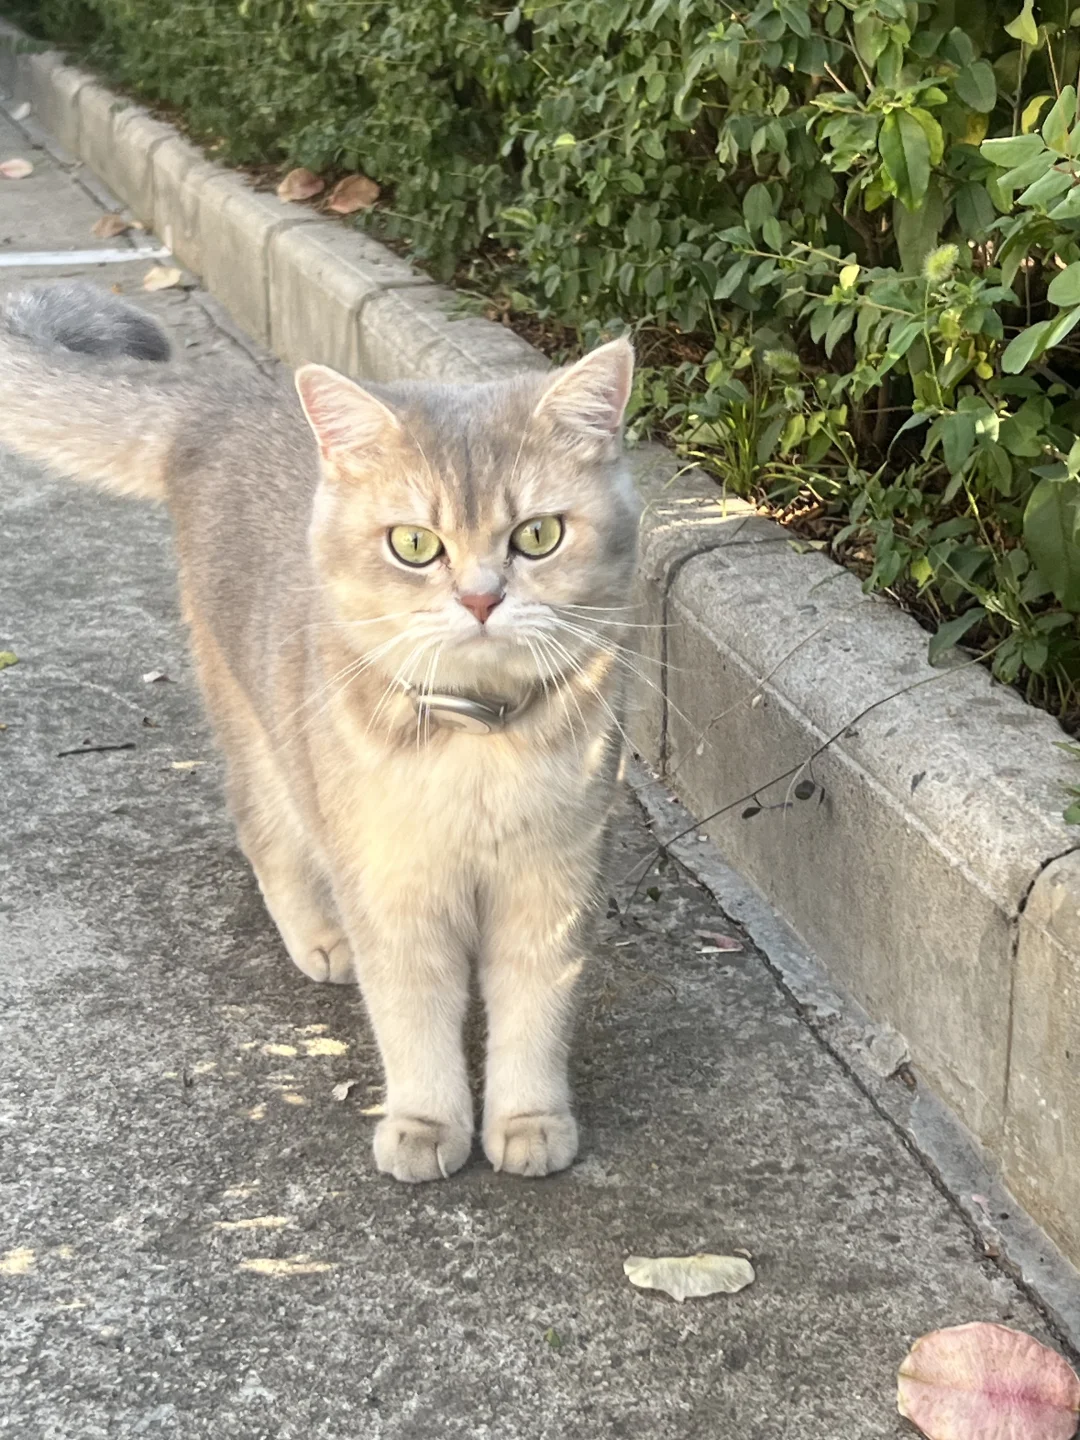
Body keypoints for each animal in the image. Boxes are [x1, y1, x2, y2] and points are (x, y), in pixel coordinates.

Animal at [0, 283, 639, 1183]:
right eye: (415, 544)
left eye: (538, 535)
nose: (481, 599)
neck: (478, 749)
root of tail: (226, 400)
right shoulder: (390, 892)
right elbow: (412, 1020)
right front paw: (425, 1123)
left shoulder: (552, 890)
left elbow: (533, 1019)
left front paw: (528, 1121)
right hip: (258, 732)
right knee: (262, 830)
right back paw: (318, 937)